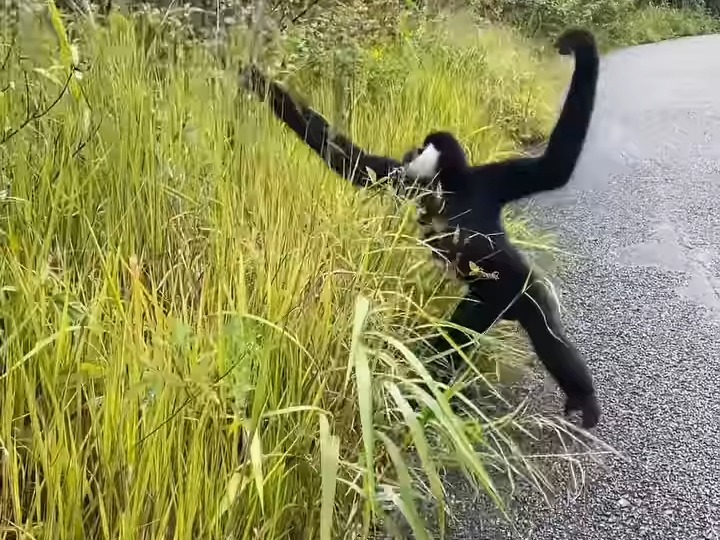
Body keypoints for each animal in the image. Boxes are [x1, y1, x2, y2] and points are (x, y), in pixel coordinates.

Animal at [240, 28, 601, 428]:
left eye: (419, 148)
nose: (411, 151)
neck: (449, 186)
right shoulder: (406, 180)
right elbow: (349, 160)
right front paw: (256, 78)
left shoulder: (486, 180)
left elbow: (555, 168)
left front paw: (581, 47)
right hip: (481, 300)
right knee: (457, 338)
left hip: (515, 288)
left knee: (543, 326)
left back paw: (582, 397)